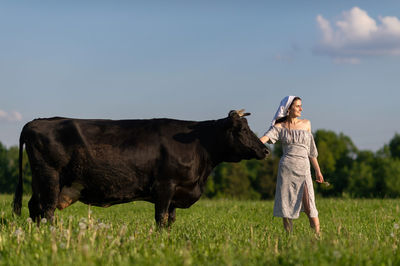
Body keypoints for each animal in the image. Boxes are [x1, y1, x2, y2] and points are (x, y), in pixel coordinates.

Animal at [13, 110, 268, 227]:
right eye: (240, 129)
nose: (265, 150)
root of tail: (37, 121)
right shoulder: (165, 186)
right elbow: (161, 217)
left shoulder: (176, 191)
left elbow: (170, 219)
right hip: (50, 178)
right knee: (47, 210)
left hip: (39, 181)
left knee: (34, 206)